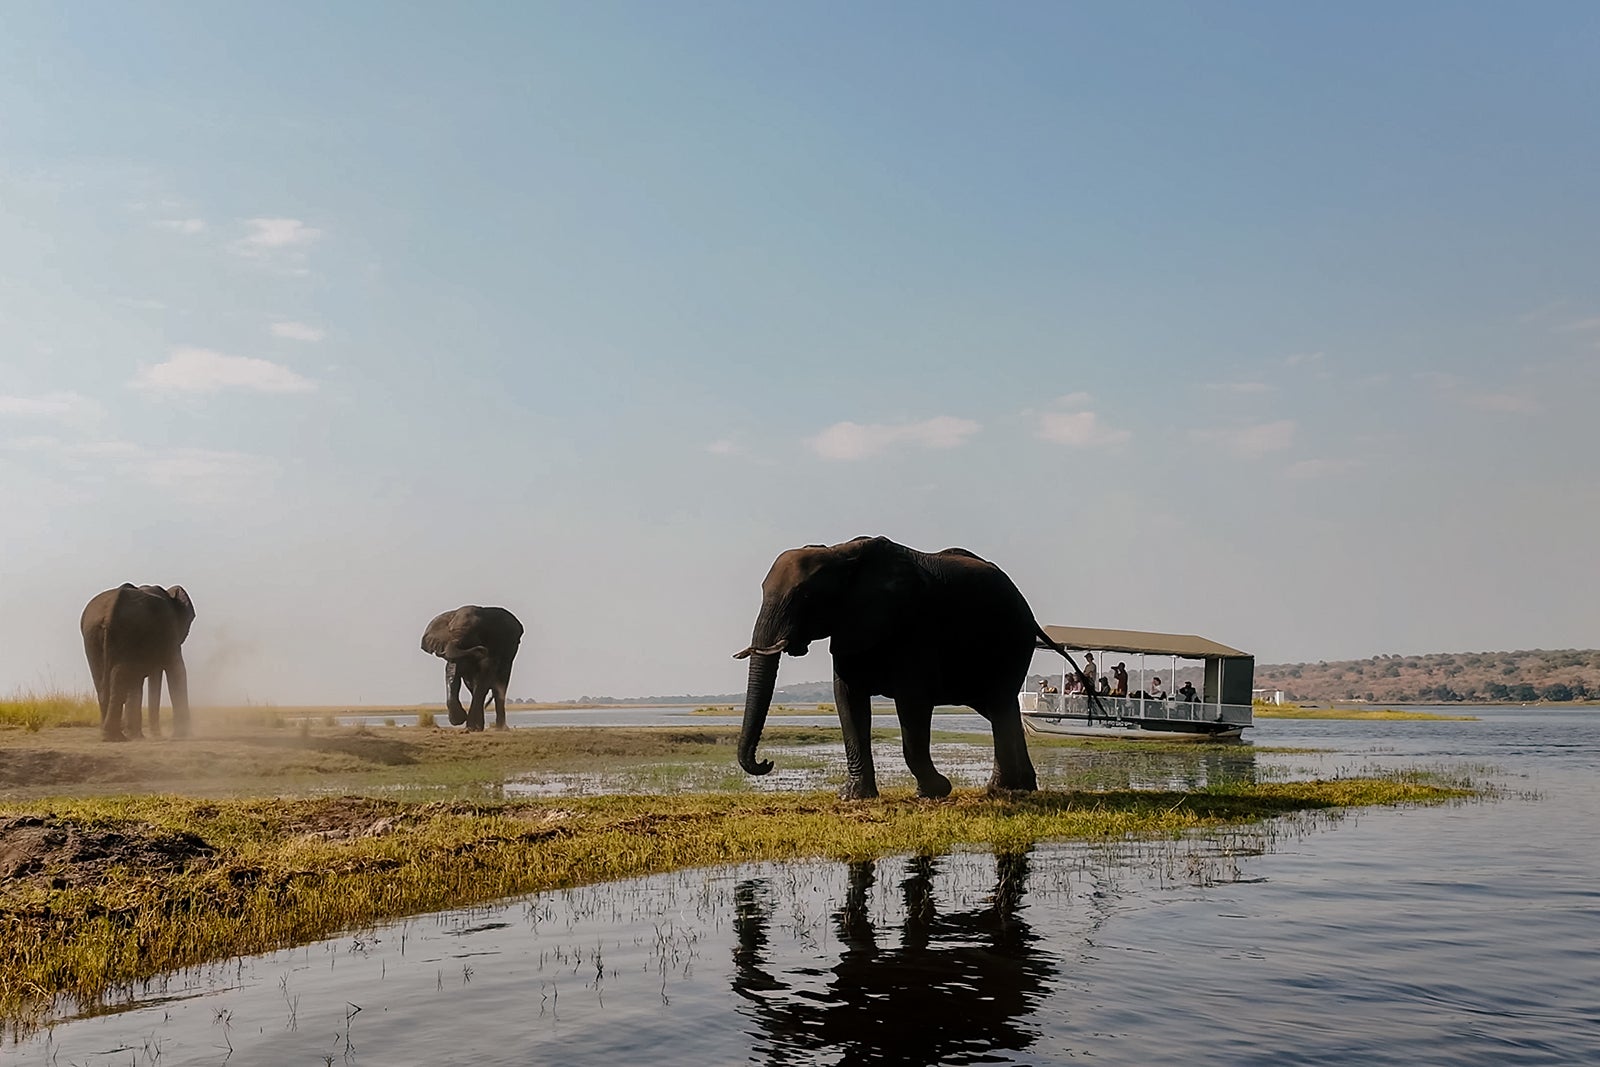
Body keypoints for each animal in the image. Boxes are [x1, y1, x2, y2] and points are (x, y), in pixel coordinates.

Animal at [80, 583, 195, 742]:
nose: (157, 735)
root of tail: (109, 611)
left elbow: (137, 681)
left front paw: (137, 736)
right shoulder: (170, 632)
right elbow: (177, 670)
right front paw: (181, 735)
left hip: (92, 635)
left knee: (103, 681)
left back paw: (110, 736)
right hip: (125, 632)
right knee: (120, 676)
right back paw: (116, 737)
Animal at [735, 536, 1089, 799]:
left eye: (806, 597)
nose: (766, 761)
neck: (840, 554)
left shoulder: (914, 625)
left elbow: (912, 701)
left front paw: (934, 791)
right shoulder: (851, 627)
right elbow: (847, 698)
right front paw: (853, 797)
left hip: (1010, 639)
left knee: (999, 704)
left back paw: (1001, 791)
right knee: (1000, 708)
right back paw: (1018, 789)